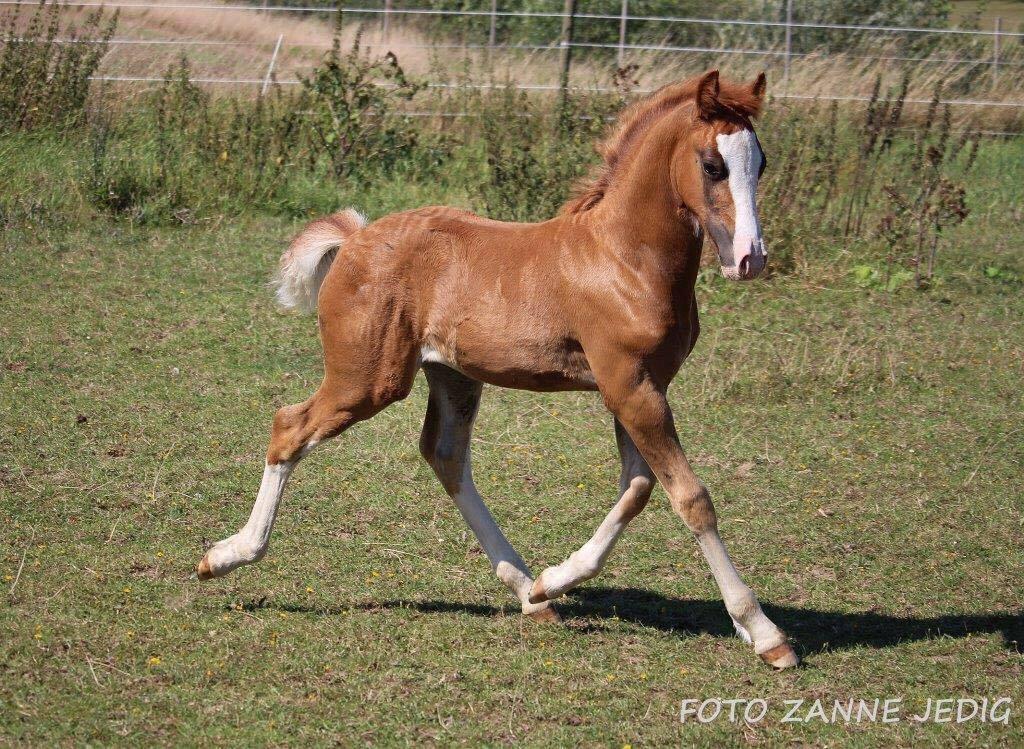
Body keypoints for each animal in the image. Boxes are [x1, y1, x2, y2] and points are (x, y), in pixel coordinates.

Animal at [193, 68, 798, 668]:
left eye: (761, 162)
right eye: (713, 165)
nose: (751, 259)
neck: (624, 258)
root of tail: (355, 236)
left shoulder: (642, 387)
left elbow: (639, 487)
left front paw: (554, 580)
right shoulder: (628, 386)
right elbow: (690, 498)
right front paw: (765, 633)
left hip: (454, 376)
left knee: (445, 456)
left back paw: (529, 594)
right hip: (367, 380)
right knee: (289, 427)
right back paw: (225, 556)